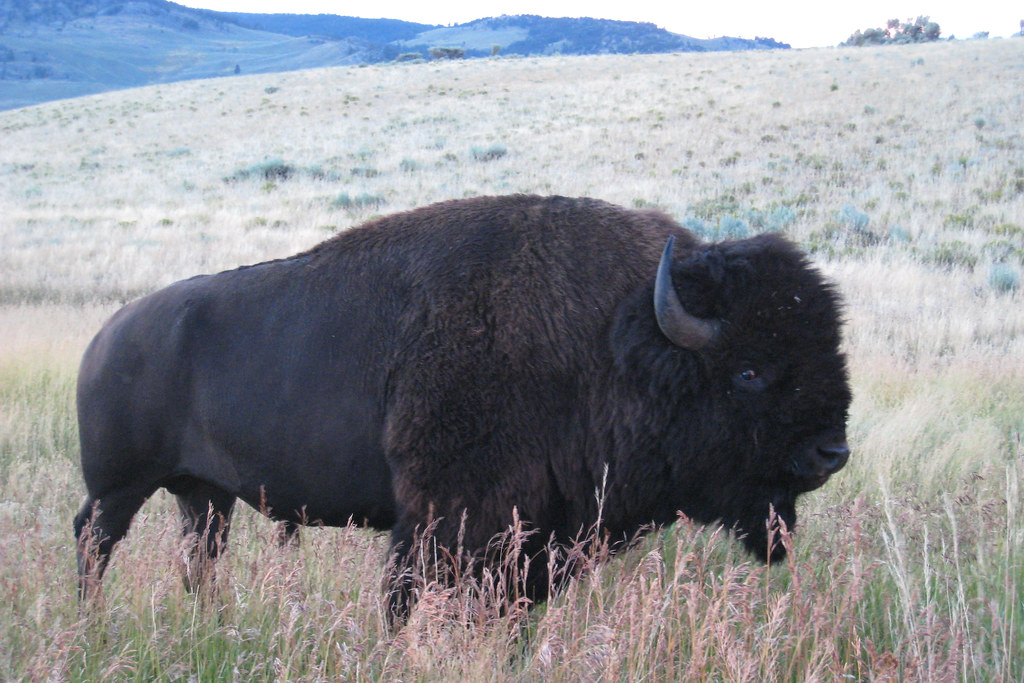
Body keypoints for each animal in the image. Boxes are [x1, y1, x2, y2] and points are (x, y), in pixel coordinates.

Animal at [74, 194, 850, 619]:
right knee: (93, 543)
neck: (617, 337)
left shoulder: (537, 539)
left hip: (203, 495)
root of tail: (108, 335)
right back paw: (90, 624)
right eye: (749, 371)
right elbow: (408, 601)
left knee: (198, 558)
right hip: (120, 487)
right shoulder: (442, 522)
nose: (831, 452)